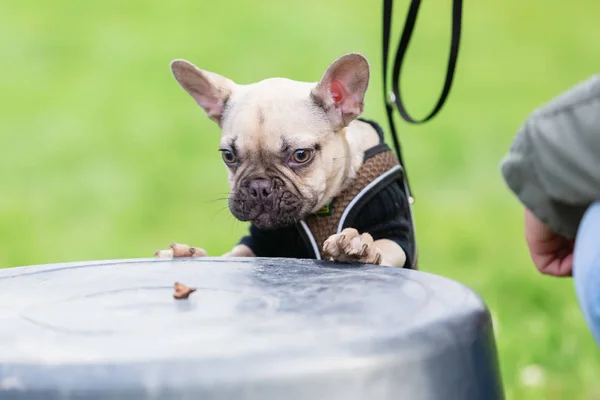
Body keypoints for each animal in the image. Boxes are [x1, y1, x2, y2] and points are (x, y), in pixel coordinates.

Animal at [155, 52, 414, 266]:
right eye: (229, 156)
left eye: (301, 155)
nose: (259, 186)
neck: (322, 209)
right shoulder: (259, 243)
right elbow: (231, 255)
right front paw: (189, 253)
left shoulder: (395, 236)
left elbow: (382, 246)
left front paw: (359, 246)